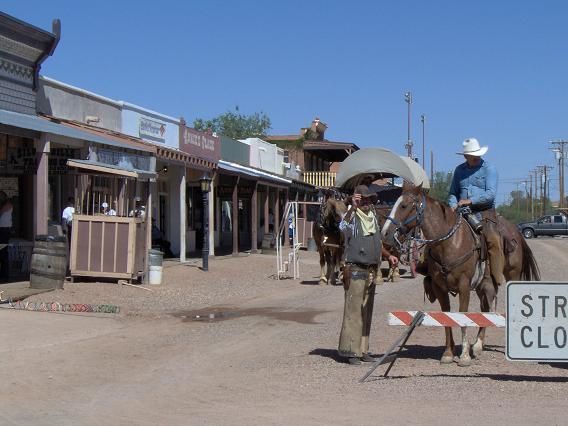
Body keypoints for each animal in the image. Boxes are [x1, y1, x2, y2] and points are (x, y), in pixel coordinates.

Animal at [380, 184, 540, 366]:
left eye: (404, 205)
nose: (384, 233)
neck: (449, 243)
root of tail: (516, 233)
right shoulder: (440, 287)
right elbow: (447, 317)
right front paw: (448, 353)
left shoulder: (464, 286)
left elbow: (462, 317)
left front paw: (464, 356)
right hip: (484, 285)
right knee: (485, 309)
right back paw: (477, 345)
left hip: (512, 275)